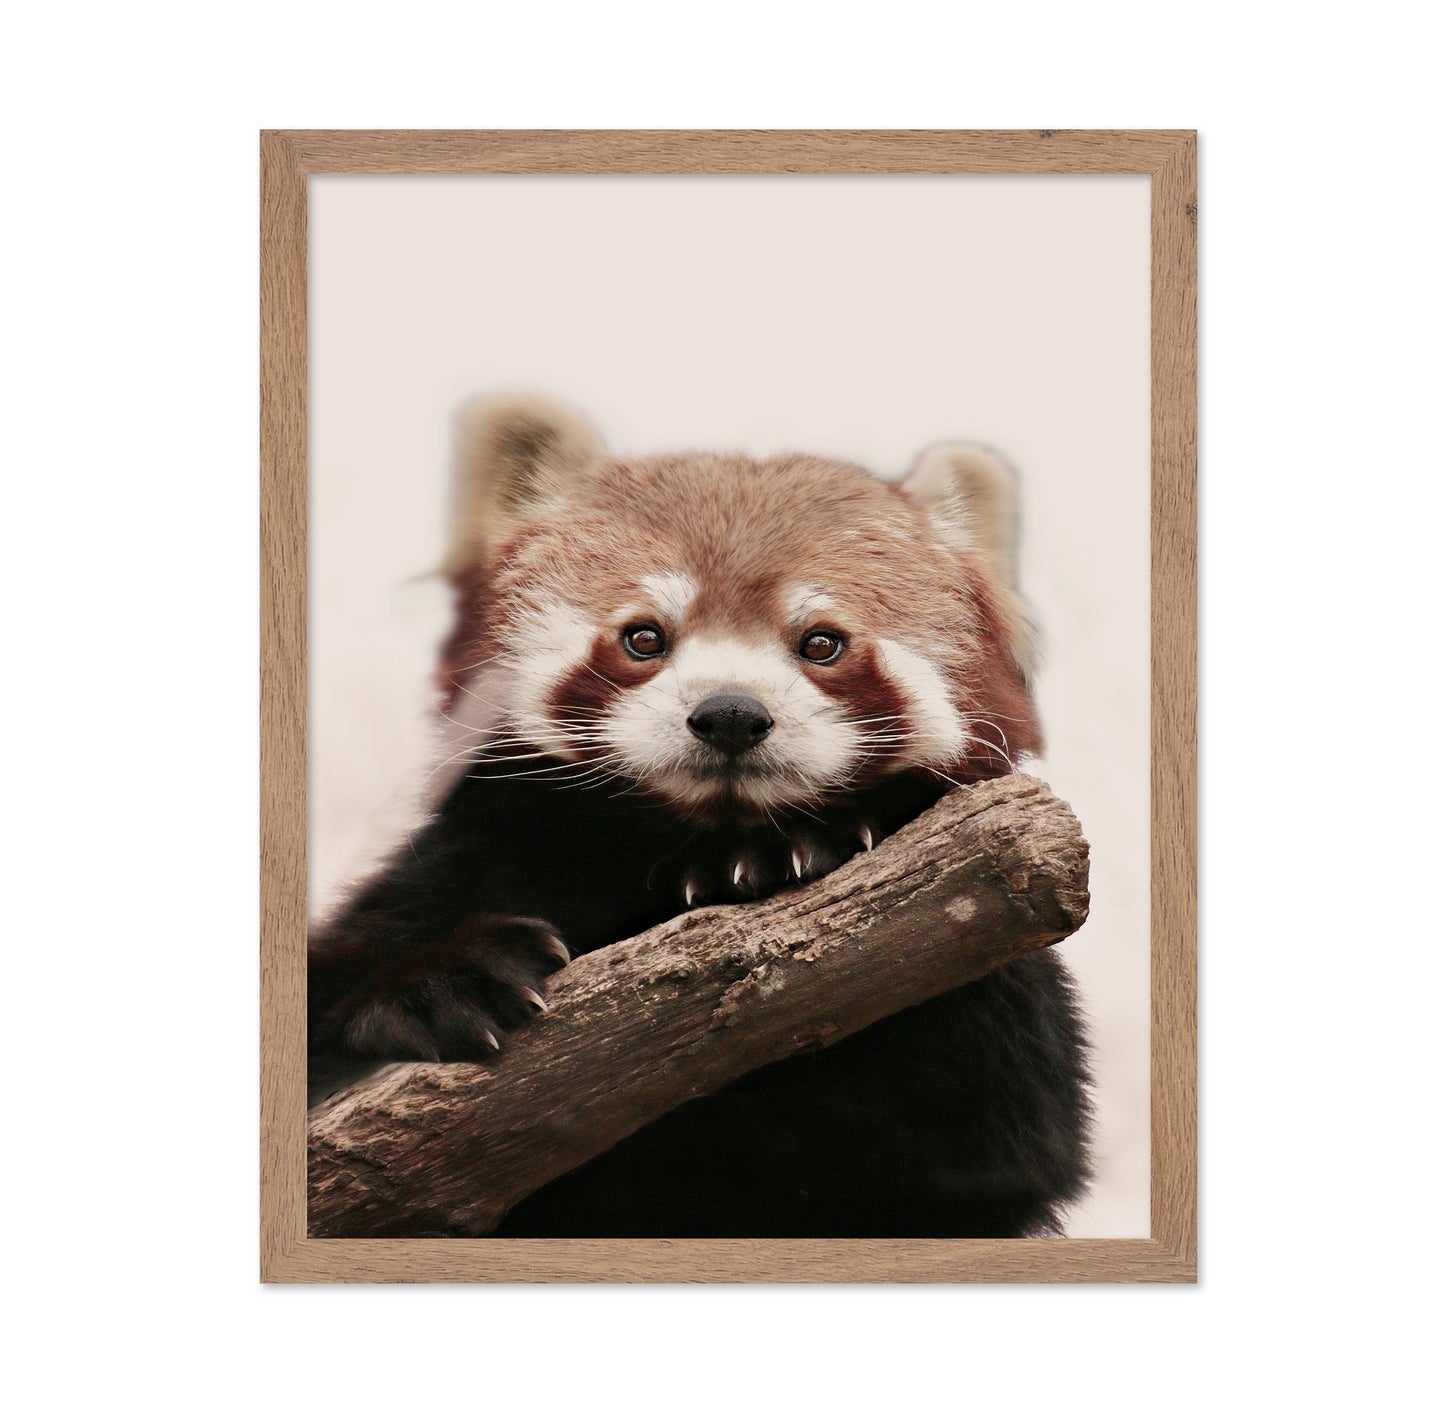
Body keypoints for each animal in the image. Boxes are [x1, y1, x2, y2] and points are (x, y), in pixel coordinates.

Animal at [308, 394, 1091, 1238]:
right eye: (644, 636)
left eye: (821, 643)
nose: (730, 715)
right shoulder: (483, 851)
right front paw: (438, 983)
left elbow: (989, 1123)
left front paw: (792, 853)